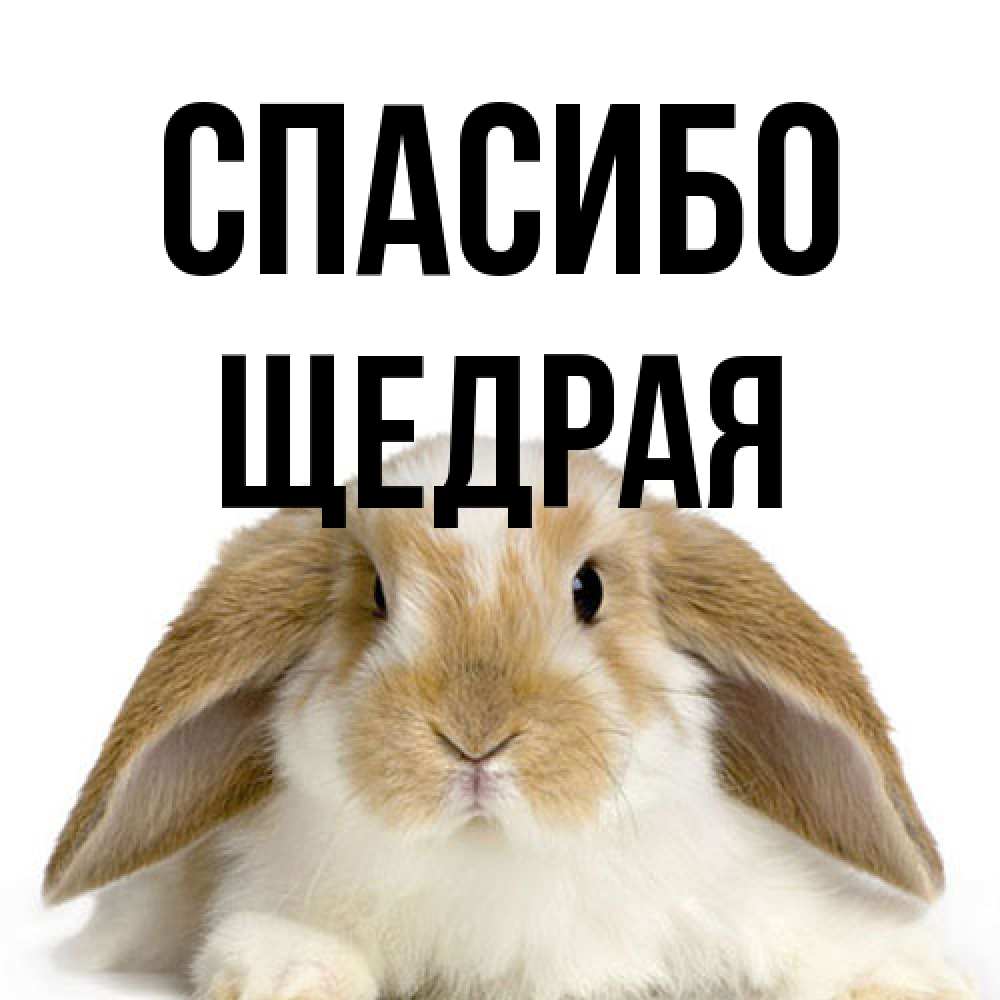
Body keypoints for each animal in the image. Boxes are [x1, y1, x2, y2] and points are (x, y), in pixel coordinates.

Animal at [45, 437, 975, 1000]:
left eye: (589, 589)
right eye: (376, 596)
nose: (475, 737)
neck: (495, 857)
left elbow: (818, 939)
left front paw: (909, 978)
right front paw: (290, 977)